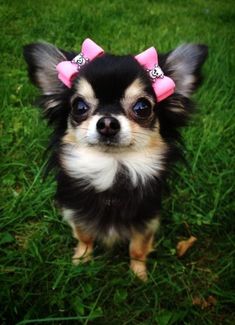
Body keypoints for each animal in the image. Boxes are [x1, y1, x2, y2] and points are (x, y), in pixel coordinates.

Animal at [23, 38, 207, 280]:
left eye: (142, 107)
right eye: (79, 106)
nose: (108, 123)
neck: (111, 171)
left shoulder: (147, 221)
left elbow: (137, 249)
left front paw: (139, 275)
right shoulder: (76, 214)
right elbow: (84, 237)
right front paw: (81, 260)